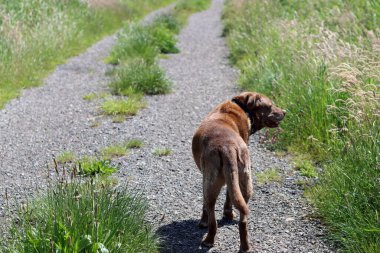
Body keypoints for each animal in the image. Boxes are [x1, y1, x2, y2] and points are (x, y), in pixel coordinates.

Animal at [193, 92, 284, 252]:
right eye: (270, 106)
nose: (285, 112)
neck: (241, 106)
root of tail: (227, 147)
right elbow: (227, 197)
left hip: (213, 183)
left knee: (212, 215)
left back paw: (209, 239)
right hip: (245, 180)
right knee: (243, 219)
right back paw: (245, 246)